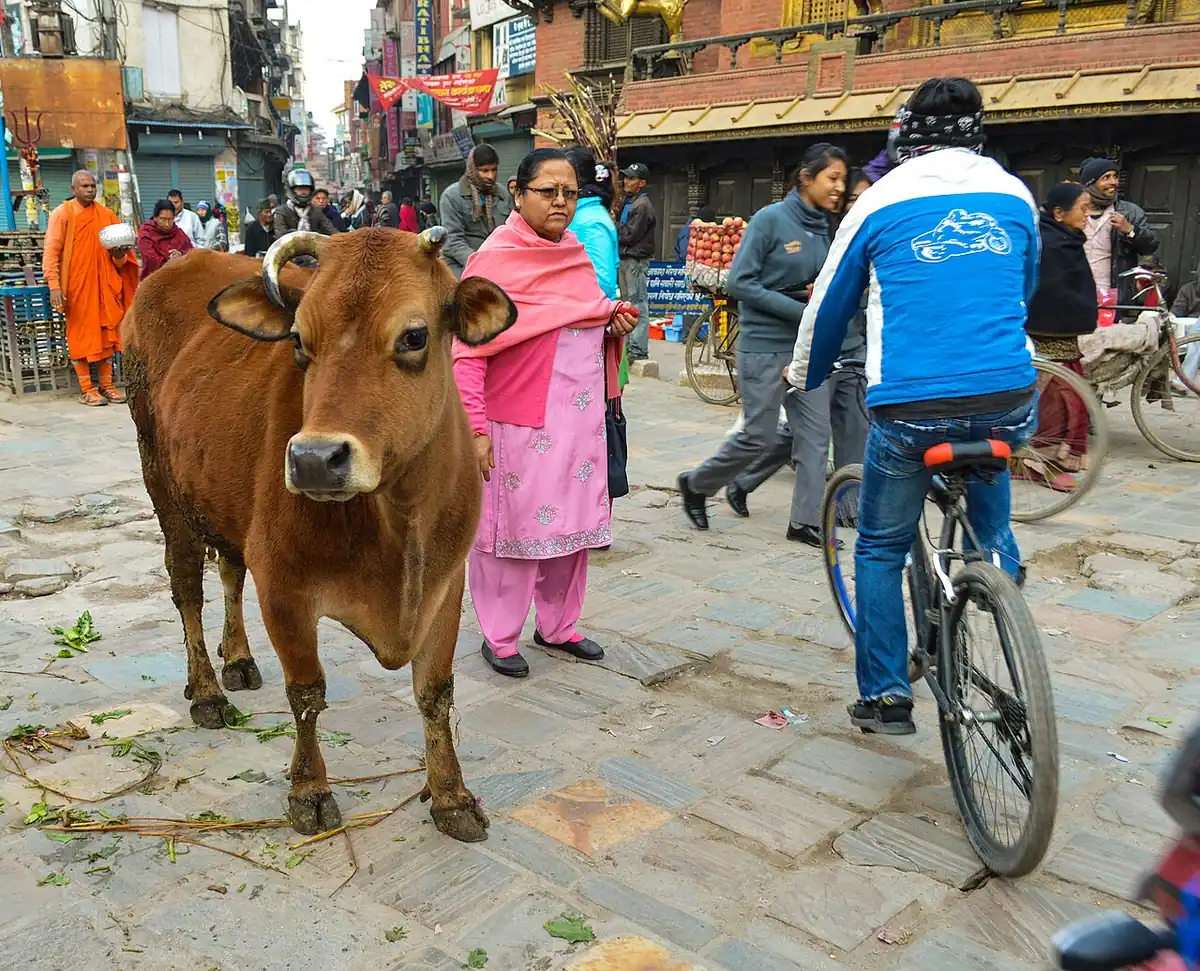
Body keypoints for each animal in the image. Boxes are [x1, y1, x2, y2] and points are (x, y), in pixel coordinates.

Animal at [123, 227, 515, 840]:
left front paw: (450, 796)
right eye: (300, 341)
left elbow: (434, 693)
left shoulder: (447, 583)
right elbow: (306, 694)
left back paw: (238, 659)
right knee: (186, 586)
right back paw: (207, 690)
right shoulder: (284, 587)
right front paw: (309, 790)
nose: (313, 460)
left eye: (414, 335)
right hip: (160, 480)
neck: (397, 518)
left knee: (230, 568)